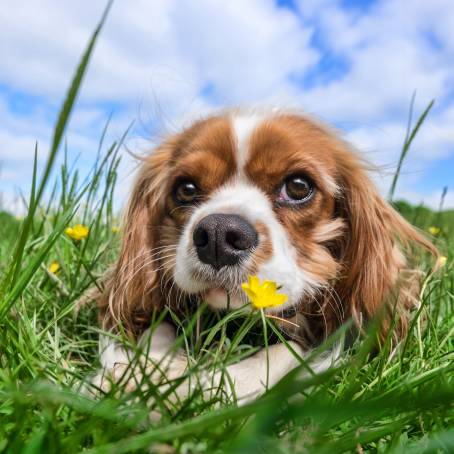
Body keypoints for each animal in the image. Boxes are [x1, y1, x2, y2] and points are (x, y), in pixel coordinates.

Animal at [91, 110, 436, 404]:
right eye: (186, 189)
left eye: (298, 186)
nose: (218, 235)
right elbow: (155, 329)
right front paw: (139, 373)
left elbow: (284, 352)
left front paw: (196, 386)